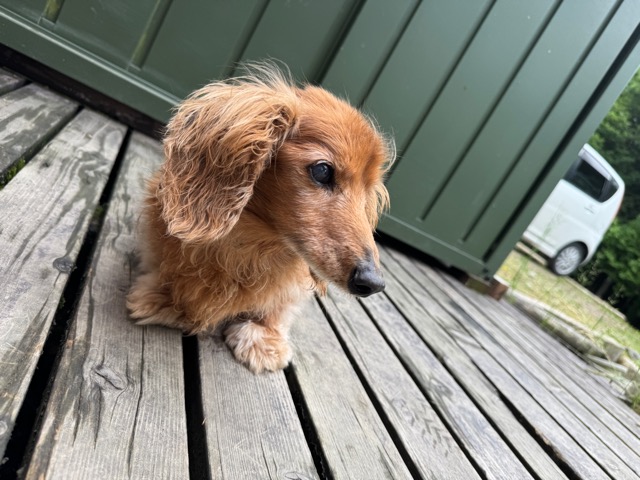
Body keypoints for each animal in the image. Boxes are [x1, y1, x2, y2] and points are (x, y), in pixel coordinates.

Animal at [127, 63, 393, 373]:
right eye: (322, 171)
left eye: (368, 193)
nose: (373, 282)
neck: (252, 245)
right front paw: (167, 299)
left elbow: (279, 307)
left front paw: (263, 336)